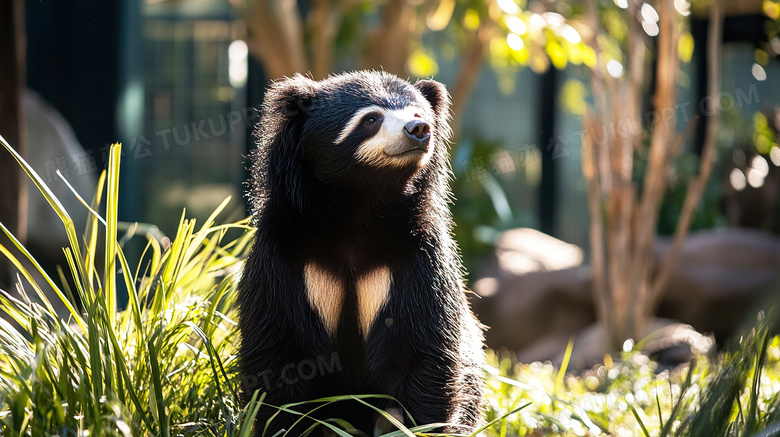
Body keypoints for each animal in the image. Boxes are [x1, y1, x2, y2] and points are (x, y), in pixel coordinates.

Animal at [239, 70, 482, 434]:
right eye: (371, 119)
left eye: (418, 113)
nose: (419, 129)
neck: (359, 208)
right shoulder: (282, 257)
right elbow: (280, 350)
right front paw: (287, 426)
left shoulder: (419, 256)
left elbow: (423, 348)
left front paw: (415, 427)